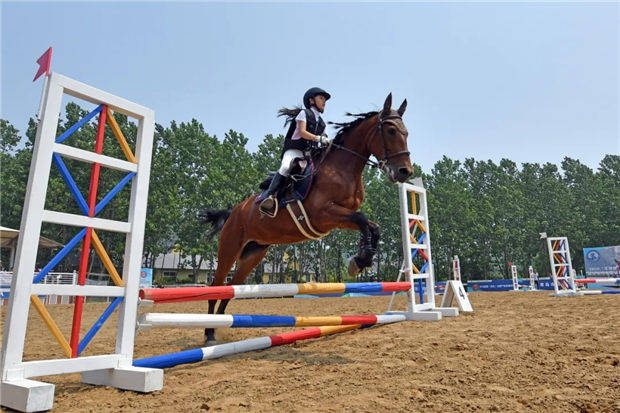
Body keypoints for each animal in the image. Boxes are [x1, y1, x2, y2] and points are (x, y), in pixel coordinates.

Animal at [202, 92, 412, 342]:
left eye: (406, 132)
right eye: (391, 131)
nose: (405, 172)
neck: (342, 168)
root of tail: (234, 211)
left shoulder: (339, 219)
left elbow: (372, 226)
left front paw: (362, 259)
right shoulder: (324, 214)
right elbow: (362, 219)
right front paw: (360, 260)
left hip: (253, 253)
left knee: (232, 288)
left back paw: (219, 327)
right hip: (230, 247)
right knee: (216, 285)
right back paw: (209, 333)